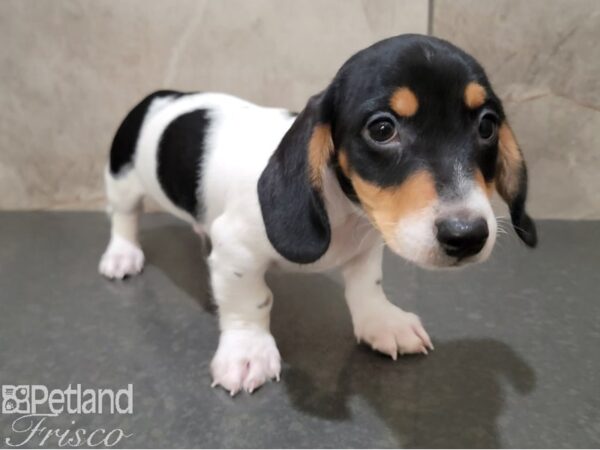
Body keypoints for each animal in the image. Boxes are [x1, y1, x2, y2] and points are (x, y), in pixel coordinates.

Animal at [99, 34, 540, 394]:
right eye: (382, 129)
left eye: (487, 126)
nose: (467, 235)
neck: (342, 208)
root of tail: (161, 96)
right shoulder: (237, 254)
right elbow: (250, 302)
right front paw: (247, 351)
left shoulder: (368, 247)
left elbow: (367, 288)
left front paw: (382, 322)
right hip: (123, 180)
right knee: (124, 218)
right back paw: (122, 255)